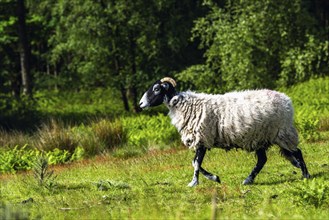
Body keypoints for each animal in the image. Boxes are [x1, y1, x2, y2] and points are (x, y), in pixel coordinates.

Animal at [139, 77, 310, 186]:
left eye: (156, 89)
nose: (140, 104)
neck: (183, 105)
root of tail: (287, 100)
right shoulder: (201, 140)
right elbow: (195, 162)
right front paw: (213, 178)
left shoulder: (202, 138)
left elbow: (196, 163)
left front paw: (195, 182)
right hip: (261, 137)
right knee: (262, 160)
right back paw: (248, 180)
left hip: (283, 133)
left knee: (298, 152)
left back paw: (306, 175)